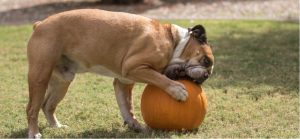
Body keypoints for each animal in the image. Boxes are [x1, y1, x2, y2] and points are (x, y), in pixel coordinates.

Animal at [25, 8, 213, 138]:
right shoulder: (135, 67)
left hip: (63, 81)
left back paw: (56, 127)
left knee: (47, 105)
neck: (174, 42)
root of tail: (40, 24)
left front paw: (135, 125)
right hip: (40, 76)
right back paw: (34, 133)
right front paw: (177, 90)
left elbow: (127, 106)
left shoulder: (124, 81)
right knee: (32, 109)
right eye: (206, 61)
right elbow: (159, 78)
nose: (206, 76)